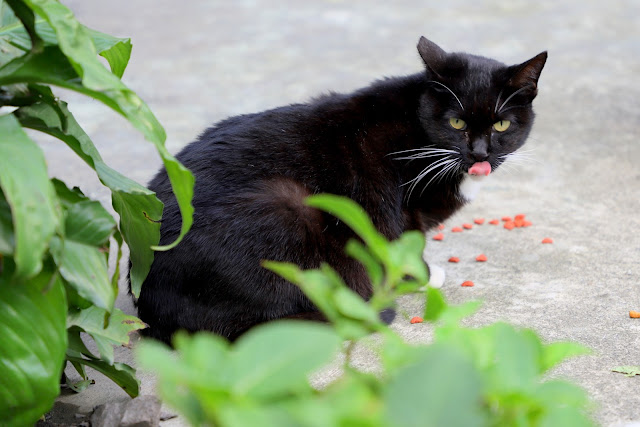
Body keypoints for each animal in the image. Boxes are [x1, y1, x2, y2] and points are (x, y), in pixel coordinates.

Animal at [134, 37, 544, 344]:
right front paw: (423, 275)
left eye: (502, 125)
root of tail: (152, 309)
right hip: (286, 208)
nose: (480, 154)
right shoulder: (398, 210)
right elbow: (403, 245)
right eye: (457, 123)